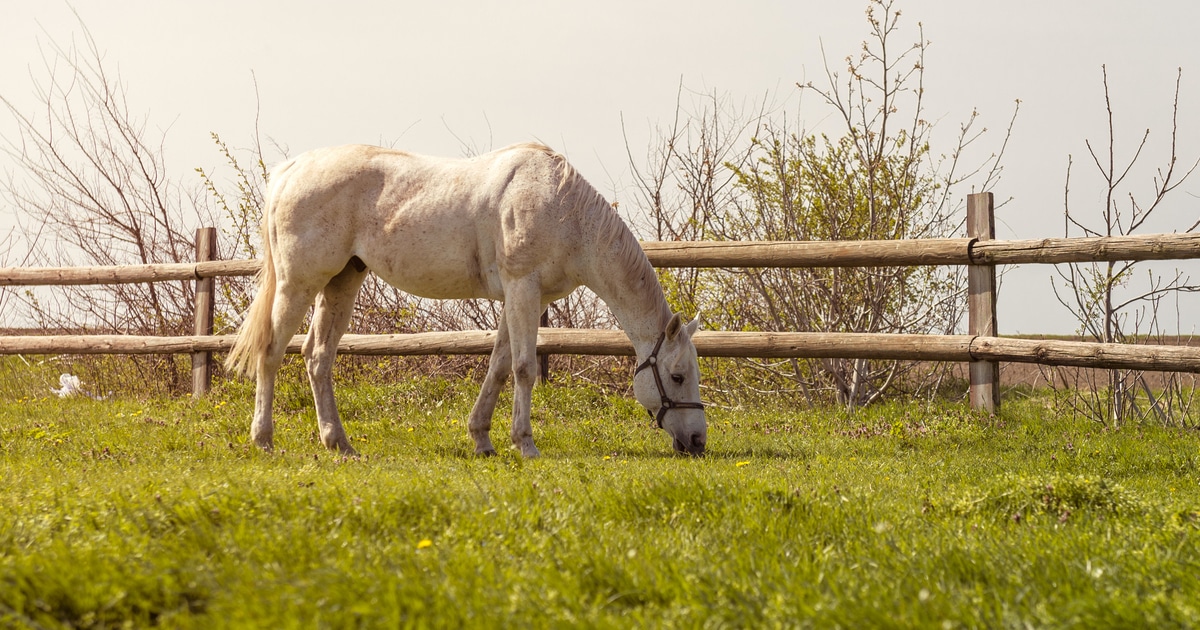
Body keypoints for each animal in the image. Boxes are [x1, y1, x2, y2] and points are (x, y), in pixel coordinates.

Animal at [225, 142, 700, 456]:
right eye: (677, 377)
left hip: (342, 282)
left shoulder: (518, 298)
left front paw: (483, 439)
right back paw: (263, 439)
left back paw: (339, 444)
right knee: (271, 352)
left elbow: (500, 366)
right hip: (298, 284)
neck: (565, 213)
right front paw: (526, 444)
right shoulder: (523, 289)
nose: (697, 442)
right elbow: (525, 369)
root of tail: (291, 170)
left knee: (317, 357)